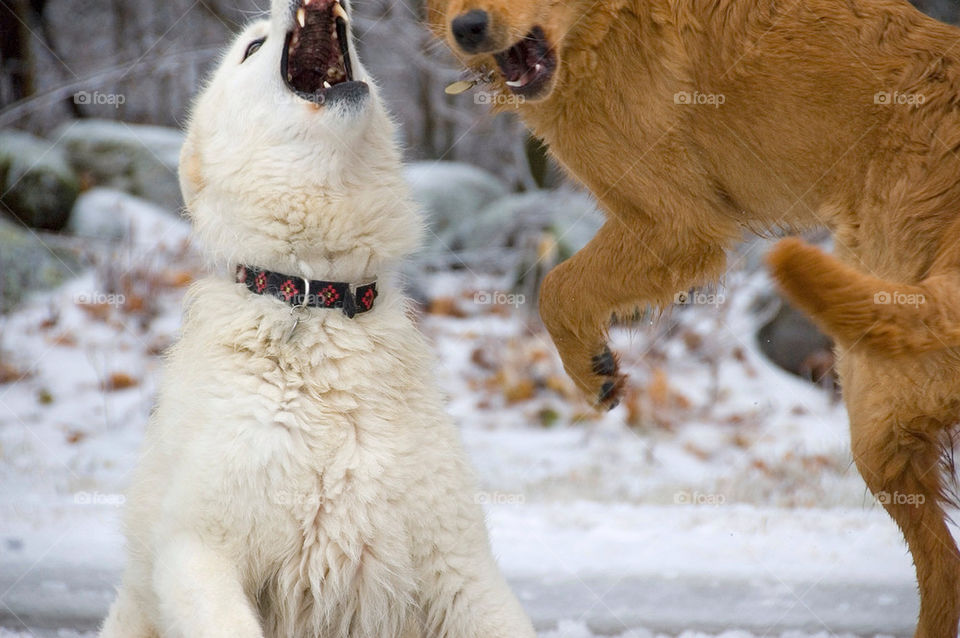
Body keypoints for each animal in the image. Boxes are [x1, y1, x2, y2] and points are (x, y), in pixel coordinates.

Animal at [432, 0, 960, 636]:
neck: (600, 24)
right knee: (944, 564)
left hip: (874, 383)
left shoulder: (676, 225)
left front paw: (591, 370)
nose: (467, 27)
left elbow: (557, 288)